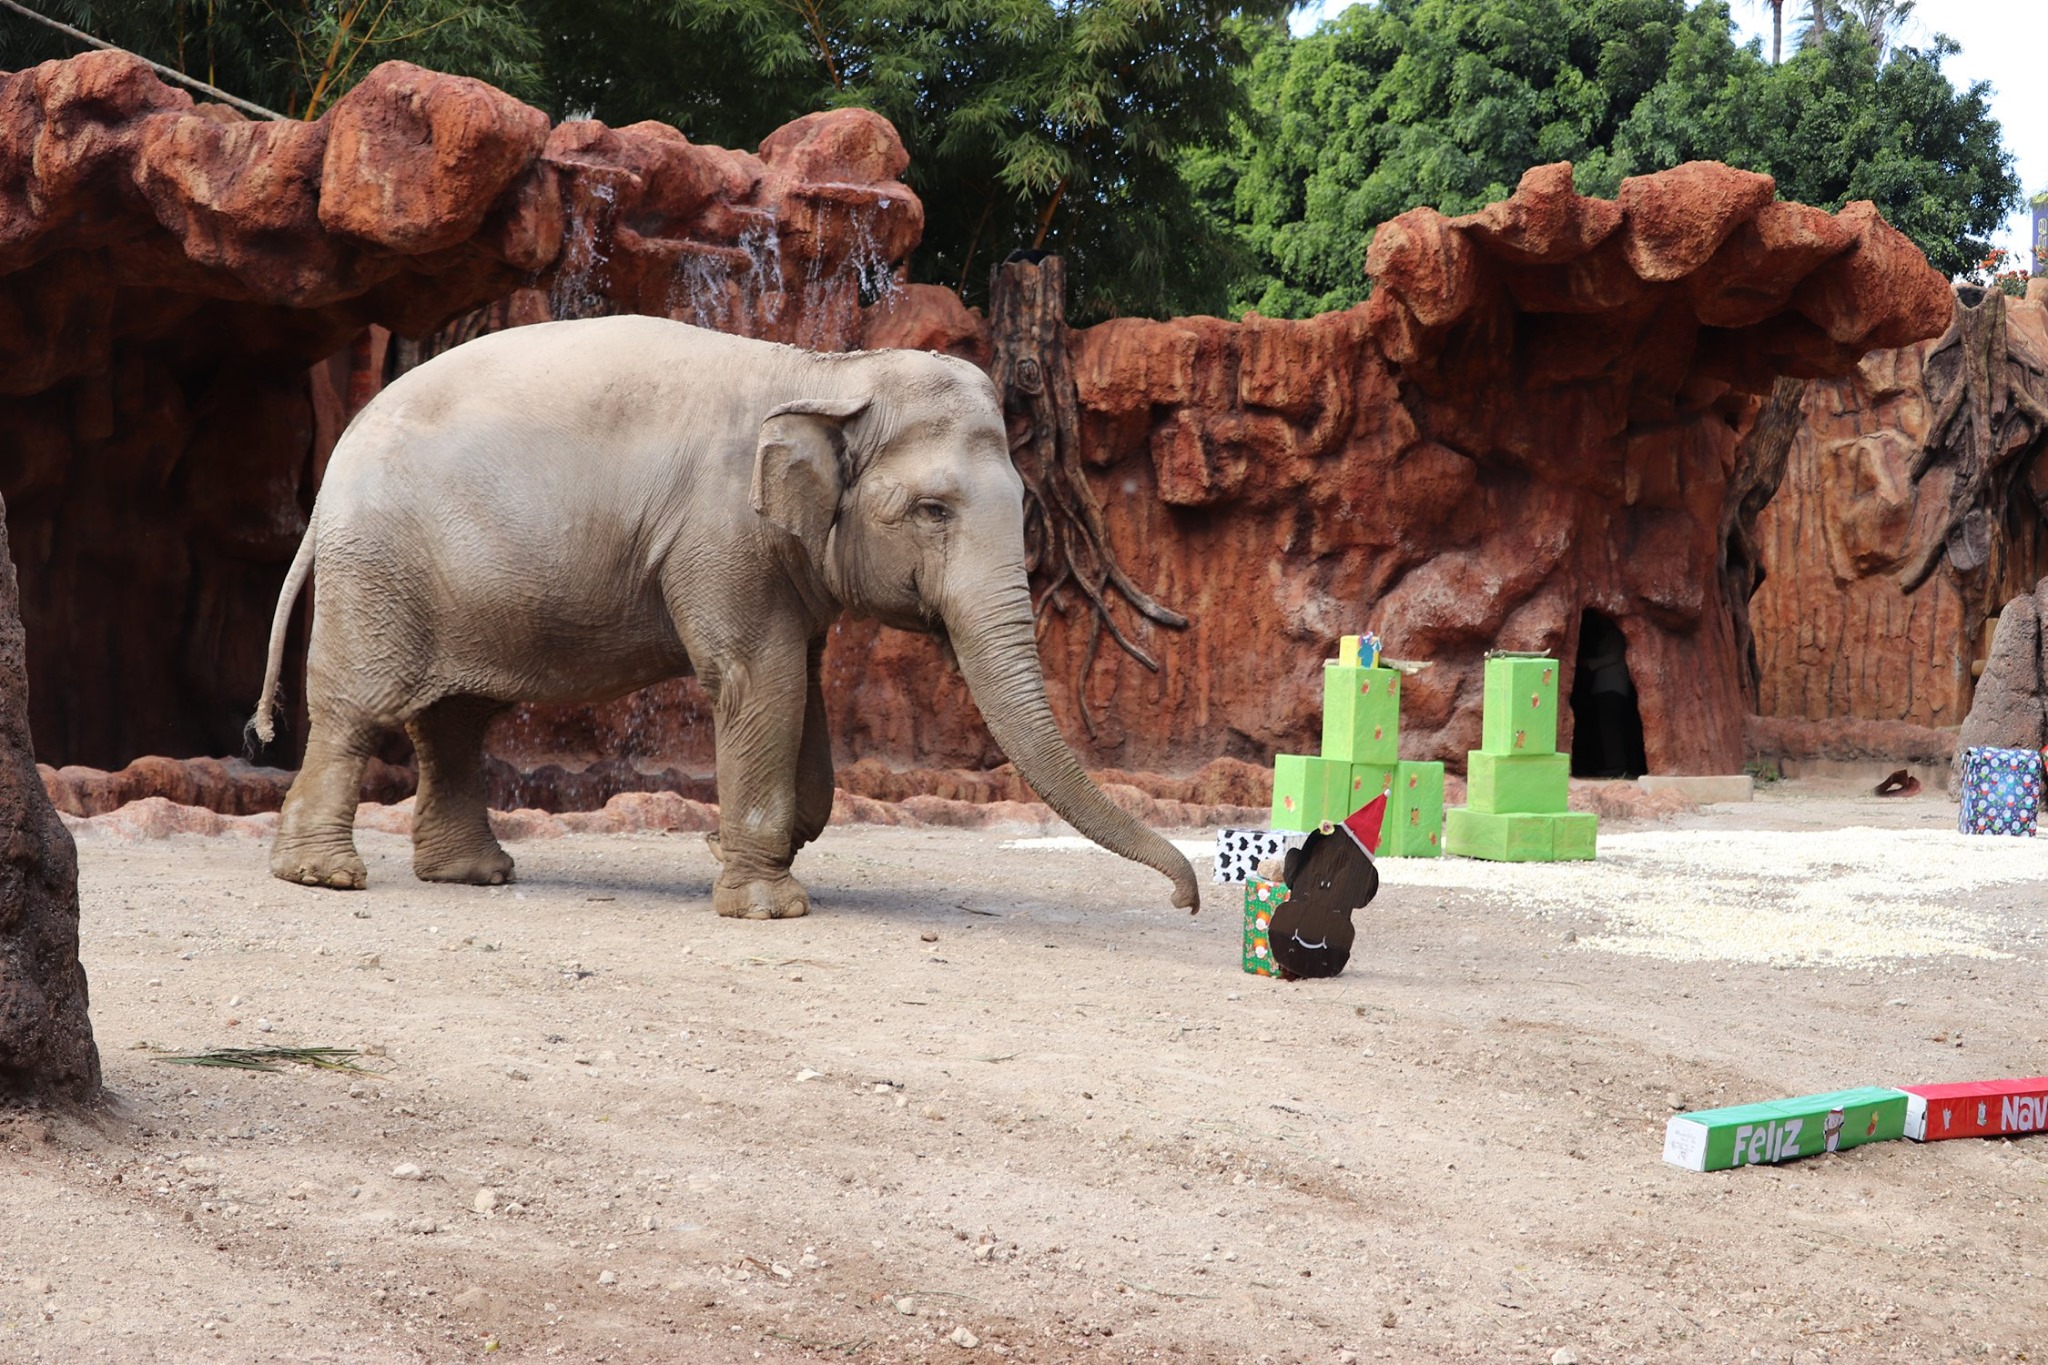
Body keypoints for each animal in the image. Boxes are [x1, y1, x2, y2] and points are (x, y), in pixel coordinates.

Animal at [260, 315, 1196, 925]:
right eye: (932, 511)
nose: (1187, 902)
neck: (829, 373)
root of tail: (334, 466)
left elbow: (800, 686)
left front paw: (728, 846)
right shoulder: (722, 532)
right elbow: (758, 679)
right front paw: (767, 904)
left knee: (453, 718)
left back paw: (473, 875)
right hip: (378, 567)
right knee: (356, 712)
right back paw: (323, 877)